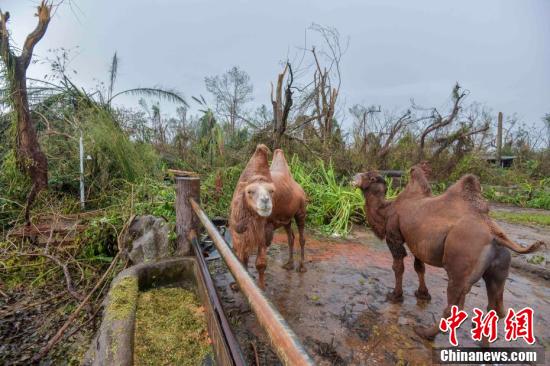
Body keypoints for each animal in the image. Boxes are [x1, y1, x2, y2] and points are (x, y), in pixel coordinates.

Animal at [231, 144, 278, 290]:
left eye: (272, 191)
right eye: (249, 191)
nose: (265, 201)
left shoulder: (263, 236)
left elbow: (261, 263)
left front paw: (261, 287)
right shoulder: (240, 235)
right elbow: (241, 258)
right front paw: (237, 285)